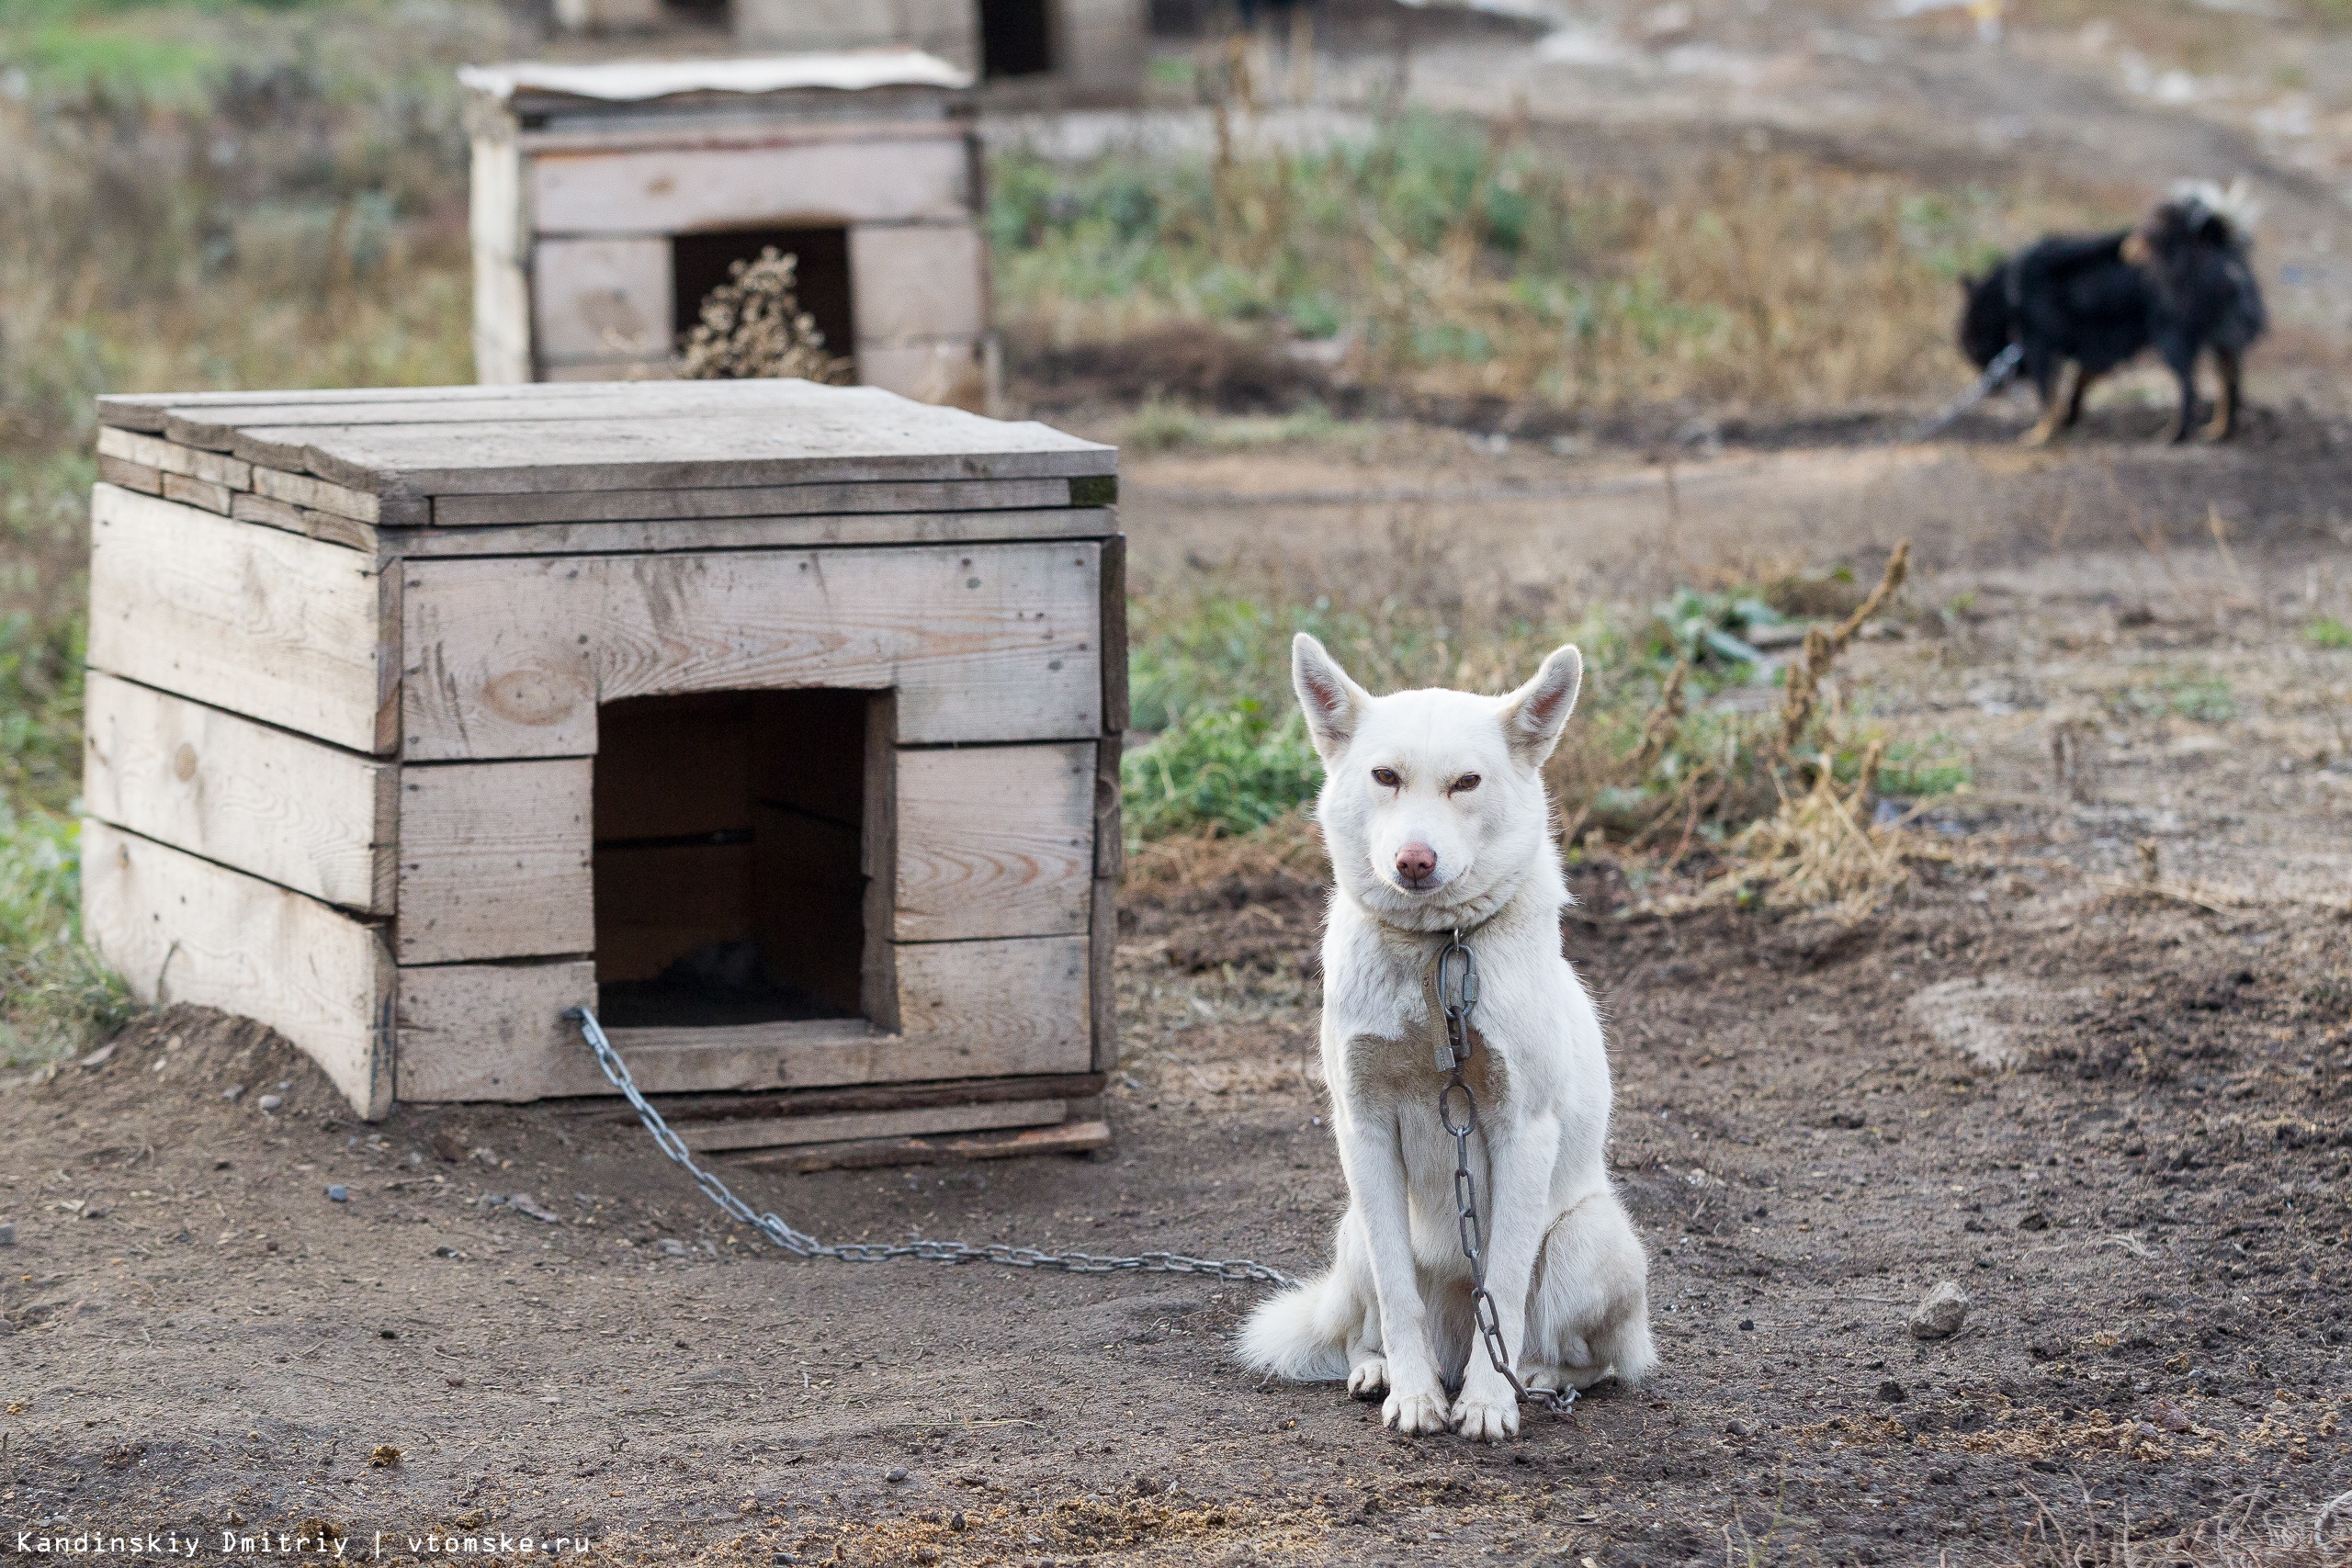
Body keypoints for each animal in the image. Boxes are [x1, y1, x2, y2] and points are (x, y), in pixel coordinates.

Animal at [1232, 634, 1656, 1438]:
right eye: (1385, 776)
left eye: (1466, 782)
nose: (1414, 860)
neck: (1438, 952)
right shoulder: (1363, 1129)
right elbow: (1400, 1296)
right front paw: (1414, 1395)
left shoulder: (1524, 1129)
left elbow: (1506, 1284)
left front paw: (1488, 1402)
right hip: (1352, 1231)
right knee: (1373, 1322)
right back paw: (1381, 1368)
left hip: (1591, 1242)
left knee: (1596, 1357)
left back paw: (1537, 1375)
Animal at [1956, 184, 2267, 444]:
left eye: (1972, 346)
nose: (1988, 387)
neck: (2012, 296)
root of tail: (2212, 245)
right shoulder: (2096, 347)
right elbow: (2078, 383)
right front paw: (2070, 416)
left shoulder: (2041, 347)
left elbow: (2048, 398)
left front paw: (2041, 434)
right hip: (2221, 340)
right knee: (2231, 385)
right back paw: (2220, 430)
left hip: (2171, 339)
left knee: (2190, 391)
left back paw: (2174, 435)